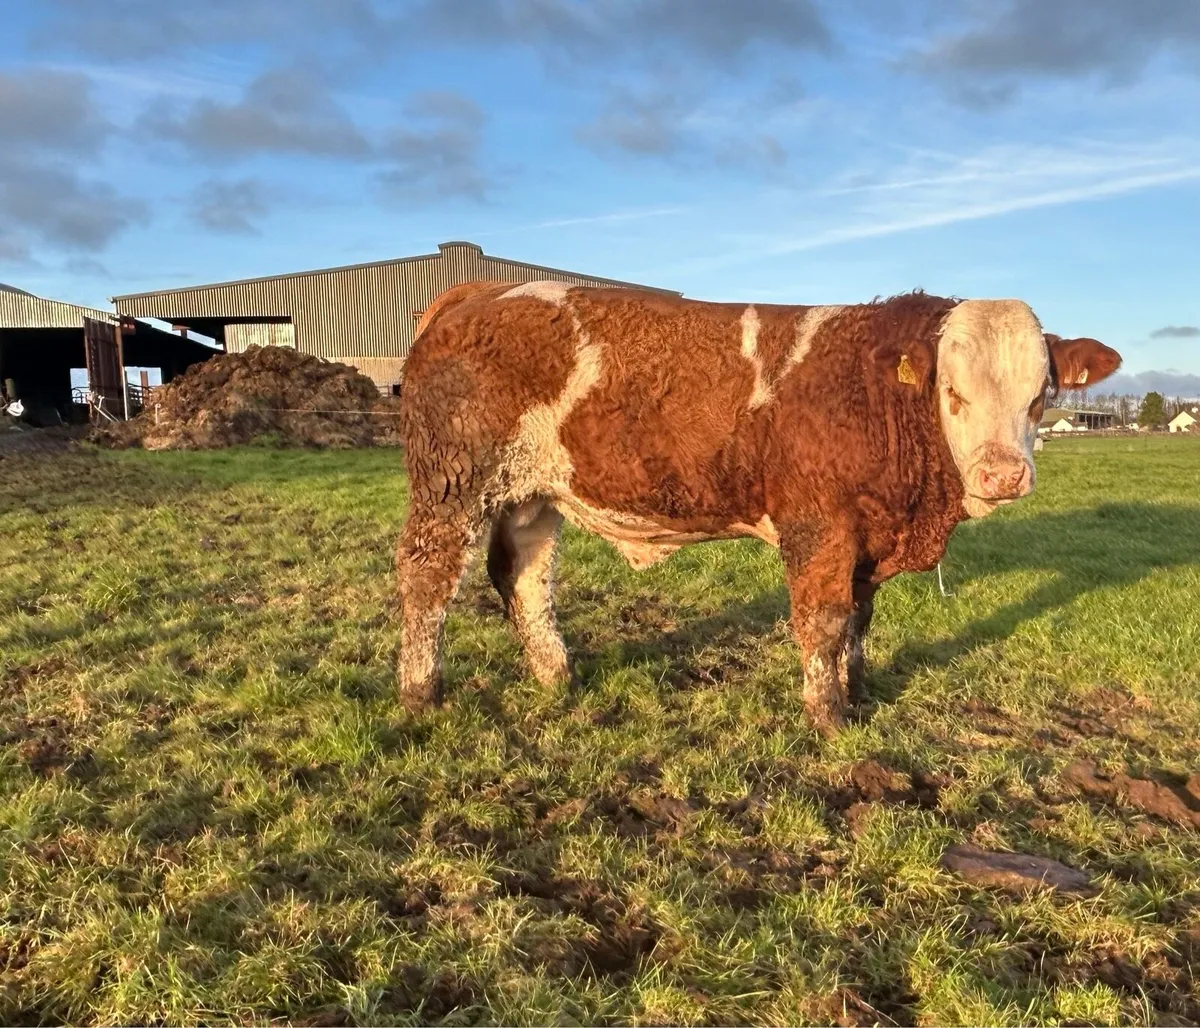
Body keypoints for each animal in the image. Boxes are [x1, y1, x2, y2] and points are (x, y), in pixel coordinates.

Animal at [395, 281, 1120, 731]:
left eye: (1041, 393)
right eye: (953, 392)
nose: (1002, 474)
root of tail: (481, 290)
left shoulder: (865, 537)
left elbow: (858, 621)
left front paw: (857, 693)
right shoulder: (819, 526)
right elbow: (823, 622)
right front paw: (828, 718)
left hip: (532, 495)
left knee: (524, 578)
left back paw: (557, 678)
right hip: (452, 483)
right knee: (427, 580)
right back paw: (421, 696)